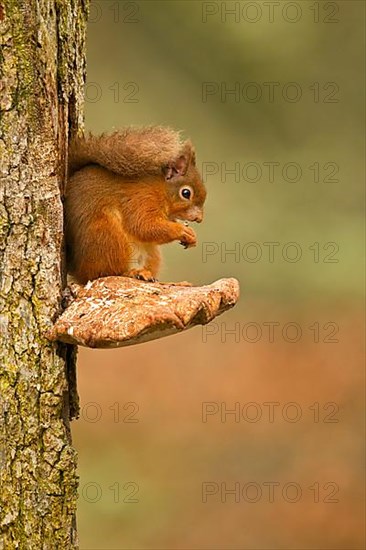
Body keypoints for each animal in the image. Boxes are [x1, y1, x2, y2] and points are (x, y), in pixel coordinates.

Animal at [65, 126, 206, 284]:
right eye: (186, 193)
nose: (199, 218)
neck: (160, 188)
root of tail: (78, 270)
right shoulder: (141, 199)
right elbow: (143, 226)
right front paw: (181, 230)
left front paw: (192, 236)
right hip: (107, 237)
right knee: (104, 273)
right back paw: (131, 272)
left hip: (150, 254)